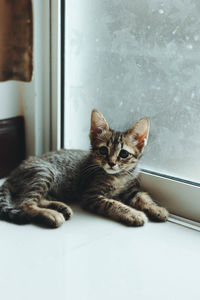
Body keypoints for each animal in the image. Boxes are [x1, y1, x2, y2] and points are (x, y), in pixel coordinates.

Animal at [0, 110, 169, 227]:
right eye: (103, 150)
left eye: (123, 153)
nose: (111, 163)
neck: (118, 176)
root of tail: (13, 173)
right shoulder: (91, 196)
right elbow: (113, 204)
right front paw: (134, 214)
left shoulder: (131, 189)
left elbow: (143, 196)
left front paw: (157, 209)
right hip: (45, 172)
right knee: (24, 203)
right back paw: (52, 215)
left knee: (37, 199)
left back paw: (60, 207)